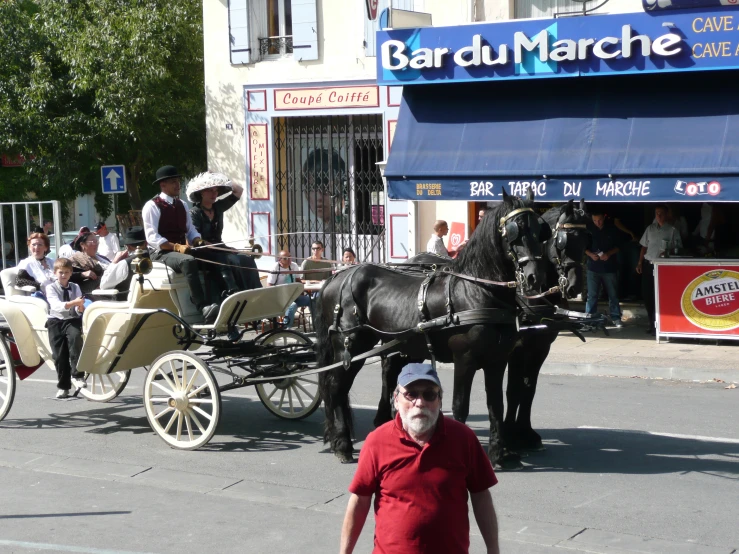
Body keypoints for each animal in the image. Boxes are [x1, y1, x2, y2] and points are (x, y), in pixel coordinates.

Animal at [316, 190, 552, 462]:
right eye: (515, 230)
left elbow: (496, 404)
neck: (477, 291)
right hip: (352, 347)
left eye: (540, 231)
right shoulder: (465, 359)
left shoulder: (497, 360)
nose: (536, 277)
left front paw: (499, 453)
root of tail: (337, 277)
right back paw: (342, 444)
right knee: (335, 388)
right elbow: (460, 407)